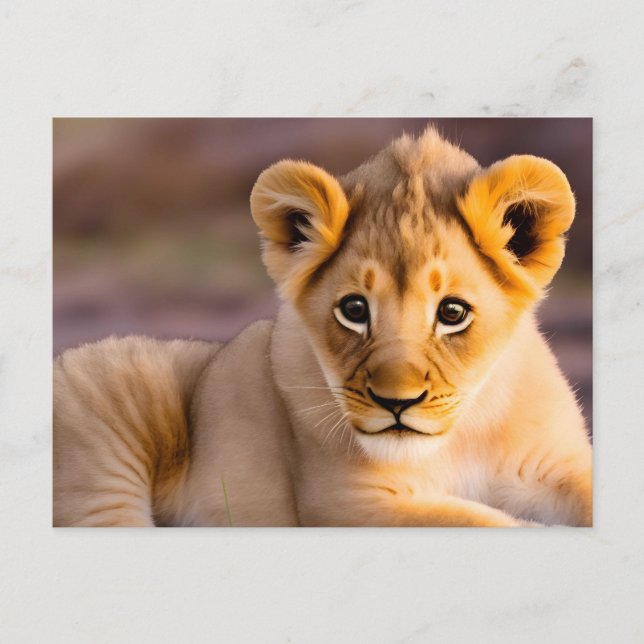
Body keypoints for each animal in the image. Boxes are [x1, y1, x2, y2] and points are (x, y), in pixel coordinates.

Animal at [53, 127, 592, 527]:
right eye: (354, 309)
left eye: (452, 313)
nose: (397, 403)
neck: (461, 437)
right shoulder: (348, 502)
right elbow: (491, 522)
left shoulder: (557, 465)